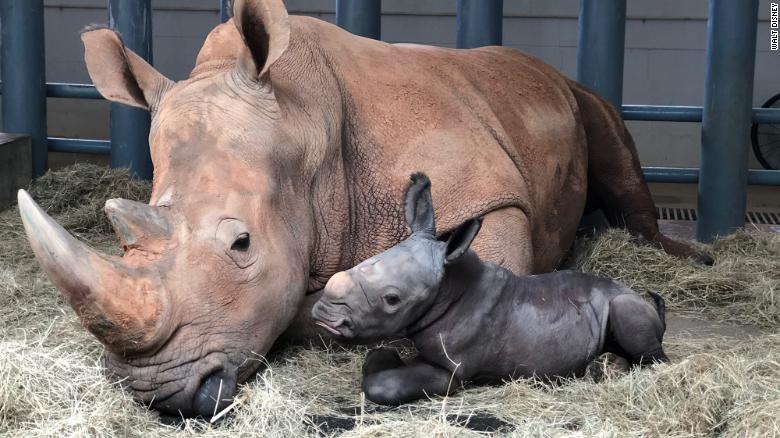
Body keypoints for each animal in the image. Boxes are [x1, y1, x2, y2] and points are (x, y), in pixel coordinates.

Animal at [314, 173, 668, 406]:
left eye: (392, 299)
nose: (322, 314)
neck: (448, 286)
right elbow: (376, 358)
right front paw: (387, 355)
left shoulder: (452, 370)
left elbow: (382, 385)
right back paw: (601, 367)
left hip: (624, 302)